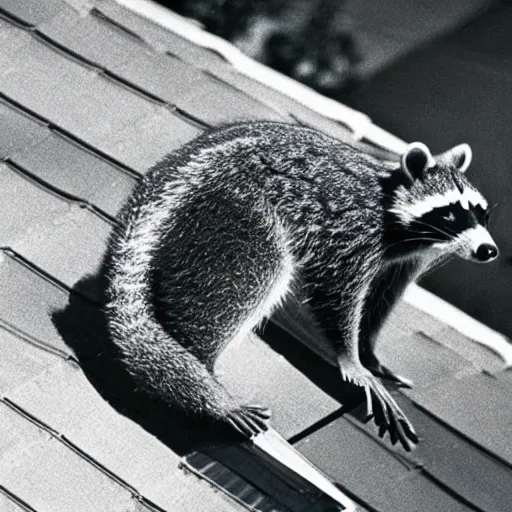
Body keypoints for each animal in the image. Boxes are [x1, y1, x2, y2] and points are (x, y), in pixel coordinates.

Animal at [103, 122, 496, 450]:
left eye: (481, 214)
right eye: (450, 213)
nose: (488, 251)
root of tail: (171, 177)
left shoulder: (404, 261)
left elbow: (378, 300)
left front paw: (368, 353)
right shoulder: (352, 230)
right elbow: (335, 289)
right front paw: (352, 360)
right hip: (235, 211)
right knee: (257, 271)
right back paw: (205, 370)